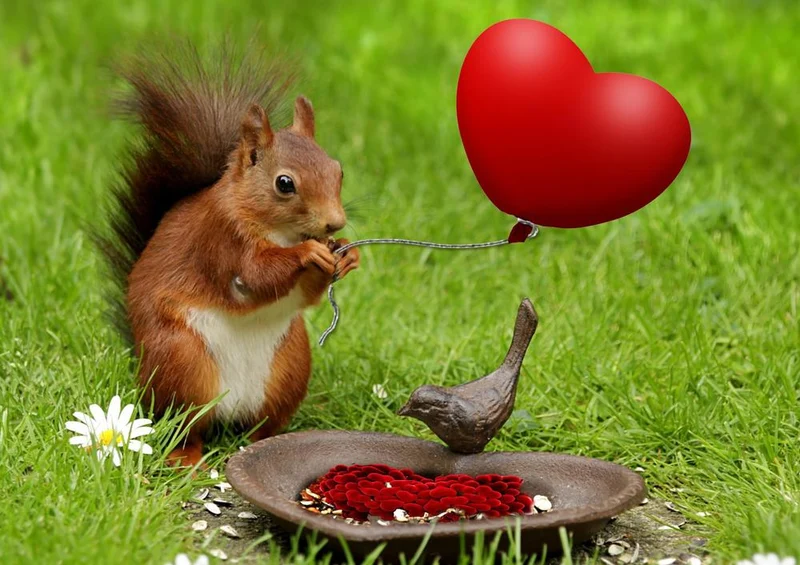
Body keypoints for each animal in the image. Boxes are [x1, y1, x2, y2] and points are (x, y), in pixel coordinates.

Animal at [100, 43, 359, 467]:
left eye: (338, 171)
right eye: (284, 183)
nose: (334, 223)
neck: (278, 231)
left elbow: (305, 295)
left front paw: (347, 258)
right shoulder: (220, 239)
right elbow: (255, 277)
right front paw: (309, 252)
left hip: (289, 367)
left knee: (260, 425)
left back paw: (267, 443)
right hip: (183, 363)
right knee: (184, 425)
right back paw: (187, 460)